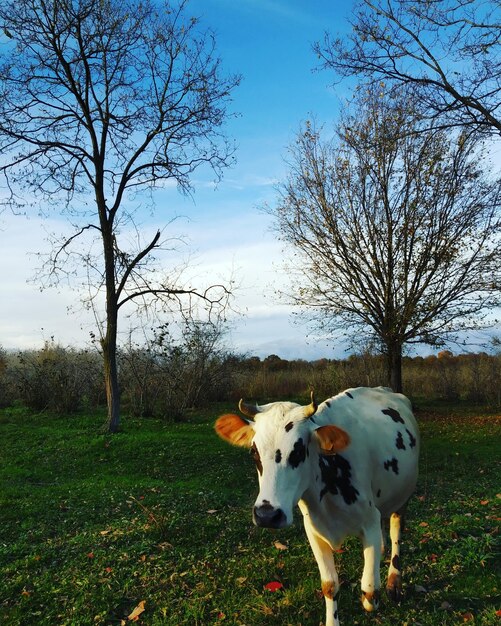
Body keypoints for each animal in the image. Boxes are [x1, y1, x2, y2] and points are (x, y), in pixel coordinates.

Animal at [214, 386, 418, 624]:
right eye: (253, 452)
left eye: (298, 451)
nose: (267, 515)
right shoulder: (313, 528)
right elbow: (329, 585)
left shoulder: (369, 520)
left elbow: (369, 591)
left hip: (403, 496)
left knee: (396, 531)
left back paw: (394, 581)